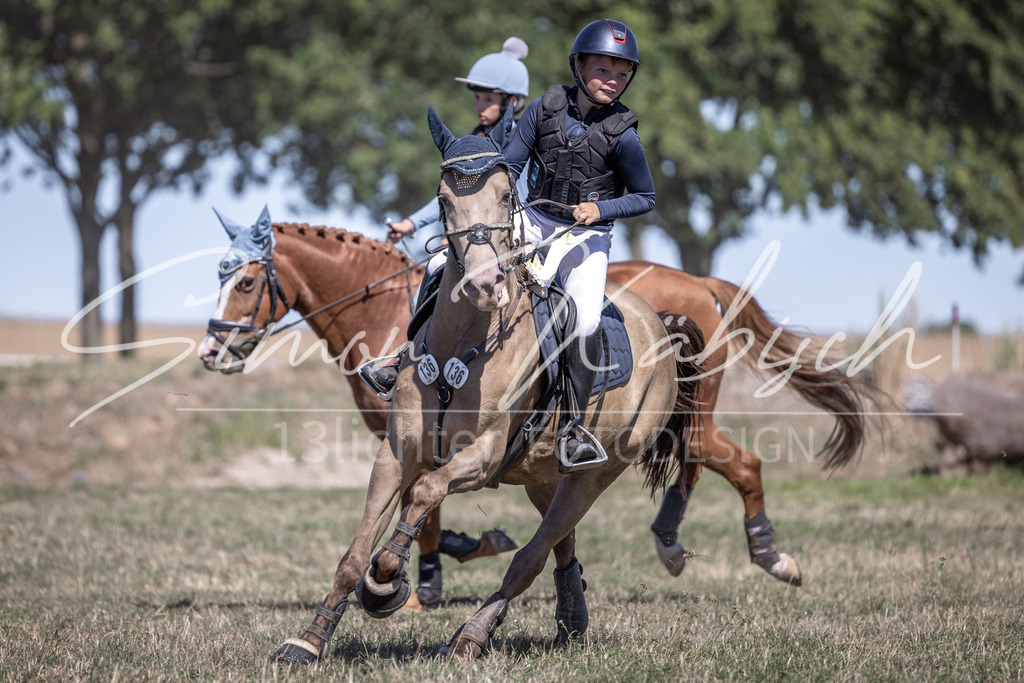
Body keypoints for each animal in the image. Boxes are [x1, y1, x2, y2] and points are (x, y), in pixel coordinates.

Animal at [256, 105, 705, 661]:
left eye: (506, 196)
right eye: (444, 200)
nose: (484, 285)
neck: (465, 342)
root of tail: (661, 323)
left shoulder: (482, 456)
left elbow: (426, 494)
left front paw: (386, 583)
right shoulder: (397, 450)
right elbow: (356, 552)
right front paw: (310, 639)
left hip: (595, 473)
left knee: (532, 555)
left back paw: (473, 633)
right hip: (541, 473)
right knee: (562, 544)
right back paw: (571, 619)